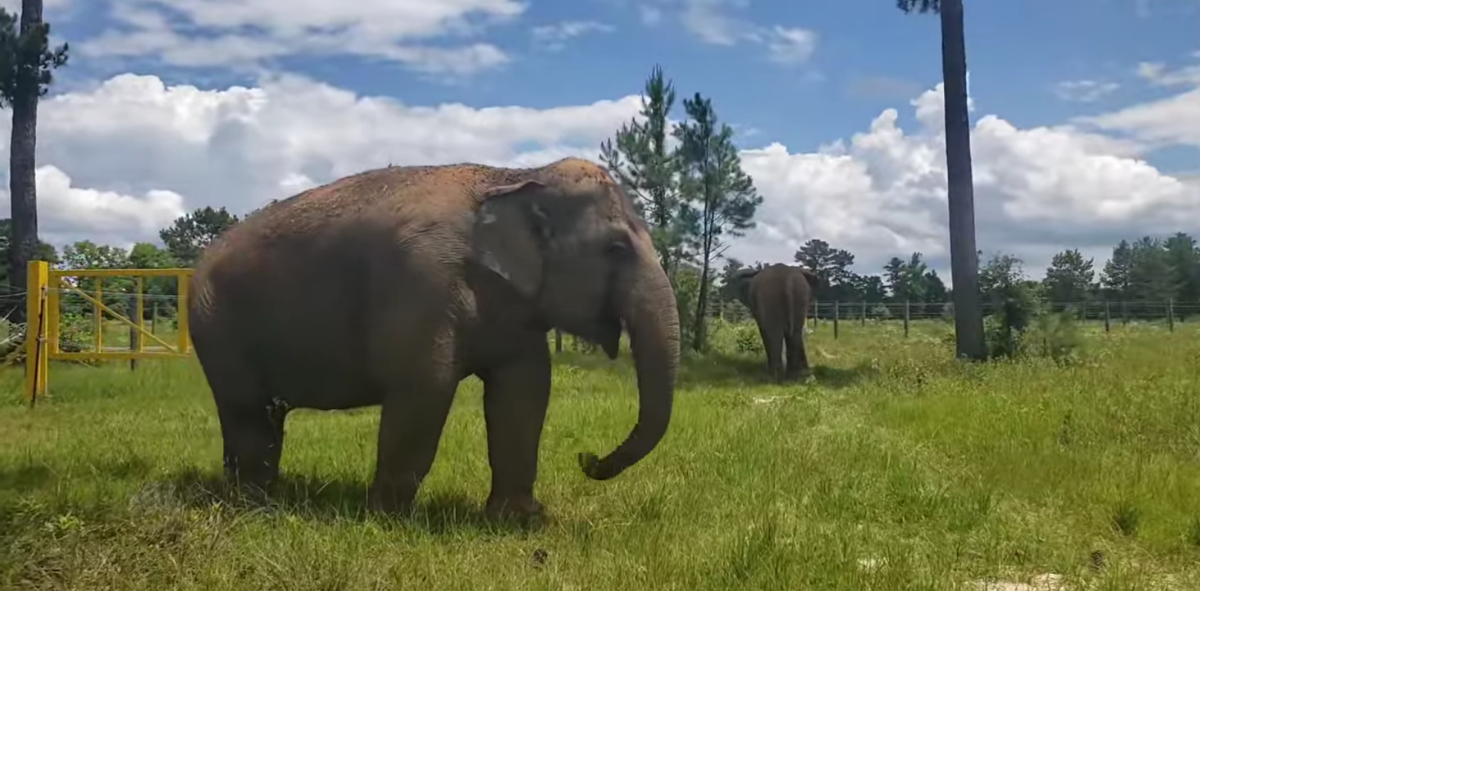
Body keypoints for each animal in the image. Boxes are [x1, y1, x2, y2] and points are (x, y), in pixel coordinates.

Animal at [187, 158, 681, 527]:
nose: (587, 457)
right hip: (215, 325)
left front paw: (519, 521)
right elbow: (426, 387)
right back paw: (255, 506)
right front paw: (387, 522)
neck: (514, 175)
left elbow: (525, 392)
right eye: (616, 248)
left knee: (264, 416)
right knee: (246, 412)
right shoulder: (421, 281)